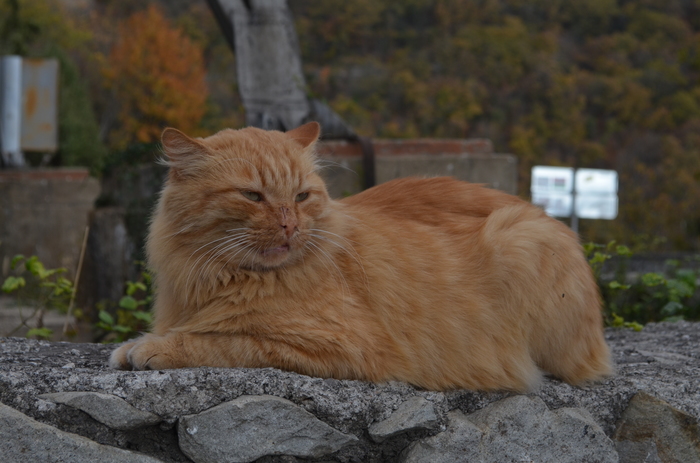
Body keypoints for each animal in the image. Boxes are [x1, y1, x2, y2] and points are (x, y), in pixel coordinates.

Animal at [109, 122, 612, 392]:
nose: (290, 226)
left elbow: (222, 341)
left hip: (519, 240)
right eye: (252, 196)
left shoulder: (340, 347)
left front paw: (150, 347)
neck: (220, 278)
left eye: (302, 196)